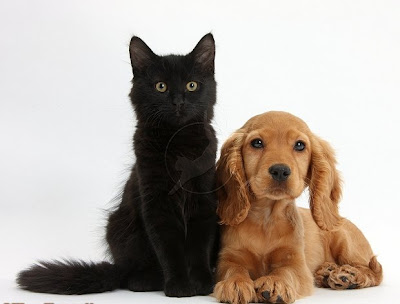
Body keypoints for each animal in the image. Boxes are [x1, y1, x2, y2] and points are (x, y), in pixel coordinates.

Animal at [17, 32, 219, 296]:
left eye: (191, 85)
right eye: (161, 86)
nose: (178, 102)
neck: (178, 142)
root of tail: (117, 268)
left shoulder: (203, 198)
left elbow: (199, 246)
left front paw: (202, 283)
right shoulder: (156, 202)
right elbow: (169, 248)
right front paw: (179, 286)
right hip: (119, 226)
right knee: (129, 275)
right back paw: (147, 280)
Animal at [214, 111, 382, 304]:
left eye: (300, 145)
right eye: (257, 143)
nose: (280, 170)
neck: (267, 218)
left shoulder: (295, 263)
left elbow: (285, 271)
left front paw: (275, 283)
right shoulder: (229, 256)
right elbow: (233, 269)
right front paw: (235, 282)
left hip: (346, 242)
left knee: (374, 271)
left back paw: (349, 275)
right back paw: (327, 272)